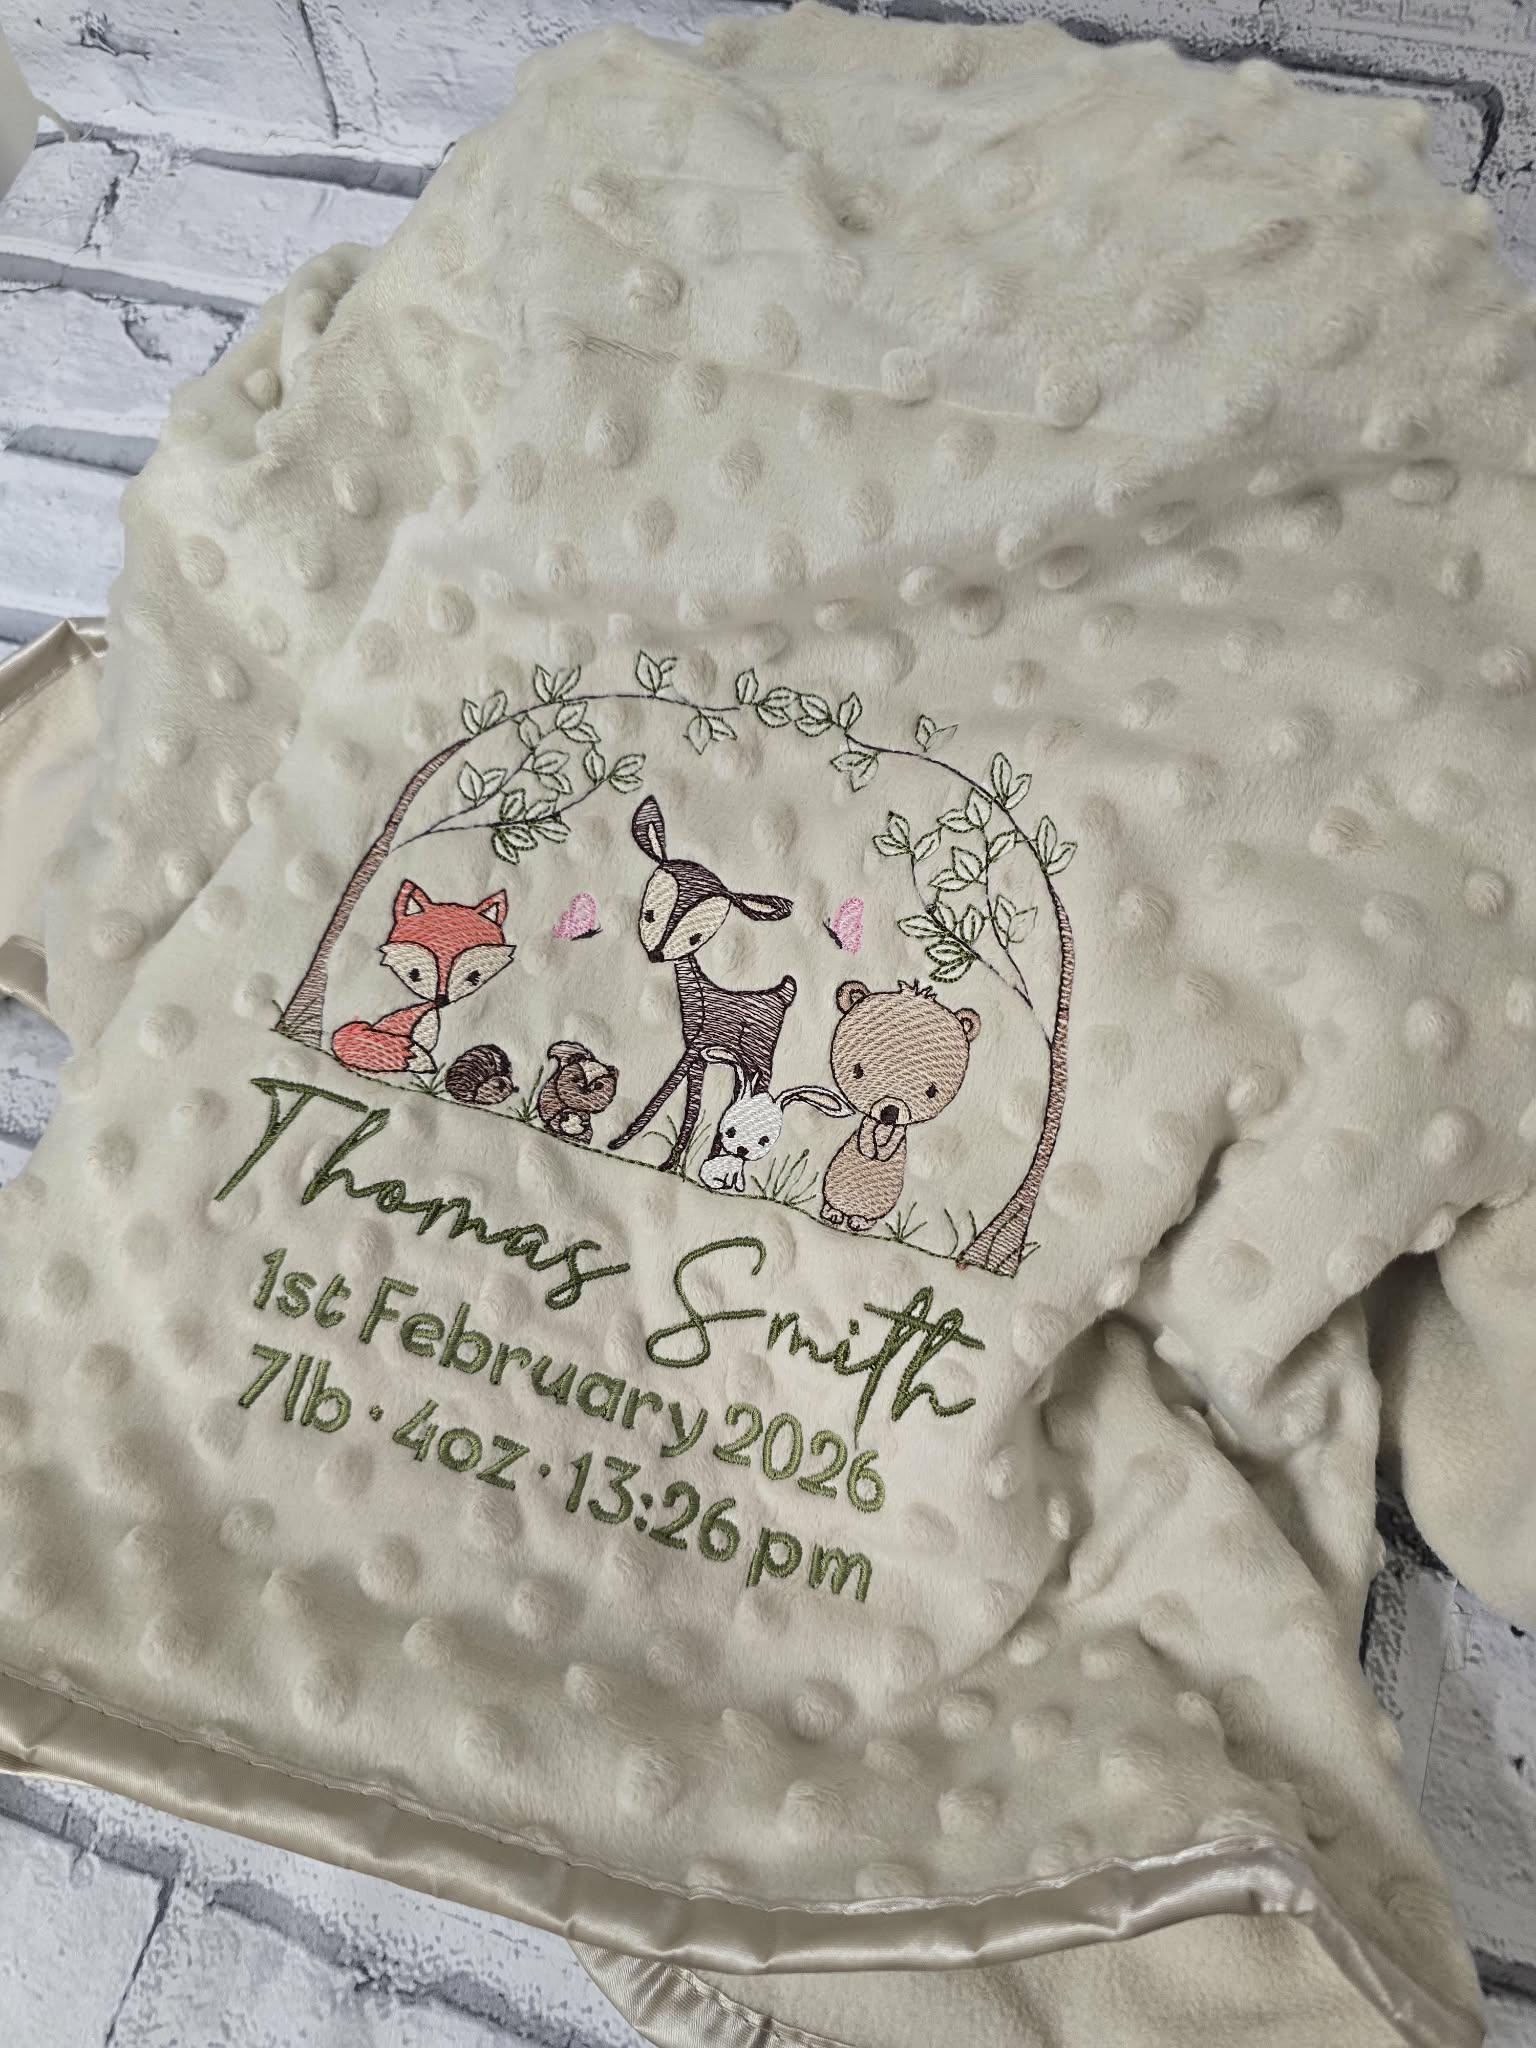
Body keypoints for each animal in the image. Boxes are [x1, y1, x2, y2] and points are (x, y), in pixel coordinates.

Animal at [607, 795, 797, 1173]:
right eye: (649, 914)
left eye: (696, 936)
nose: (655, 954)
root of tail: (783, 992)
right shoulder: (698, 1054)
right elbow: (691, 1105)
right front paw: (667, 1161)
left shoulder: (694, 1049)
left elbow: (671, 1094)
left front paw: (629, 1146)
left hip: (760, 1060)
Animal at [820, 981, 980, 1233]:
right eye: (858, 1071)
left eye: (931, 1091)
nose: (890, 1112)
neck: (883, 1127)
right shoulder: (869, 1121)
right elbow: (865, 1136)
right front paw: (871, 1149)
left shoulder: (899, 1130)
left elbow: (893, 1142)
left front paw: (881, 1151)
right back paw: (833, 1213)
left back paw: (859, 1221)